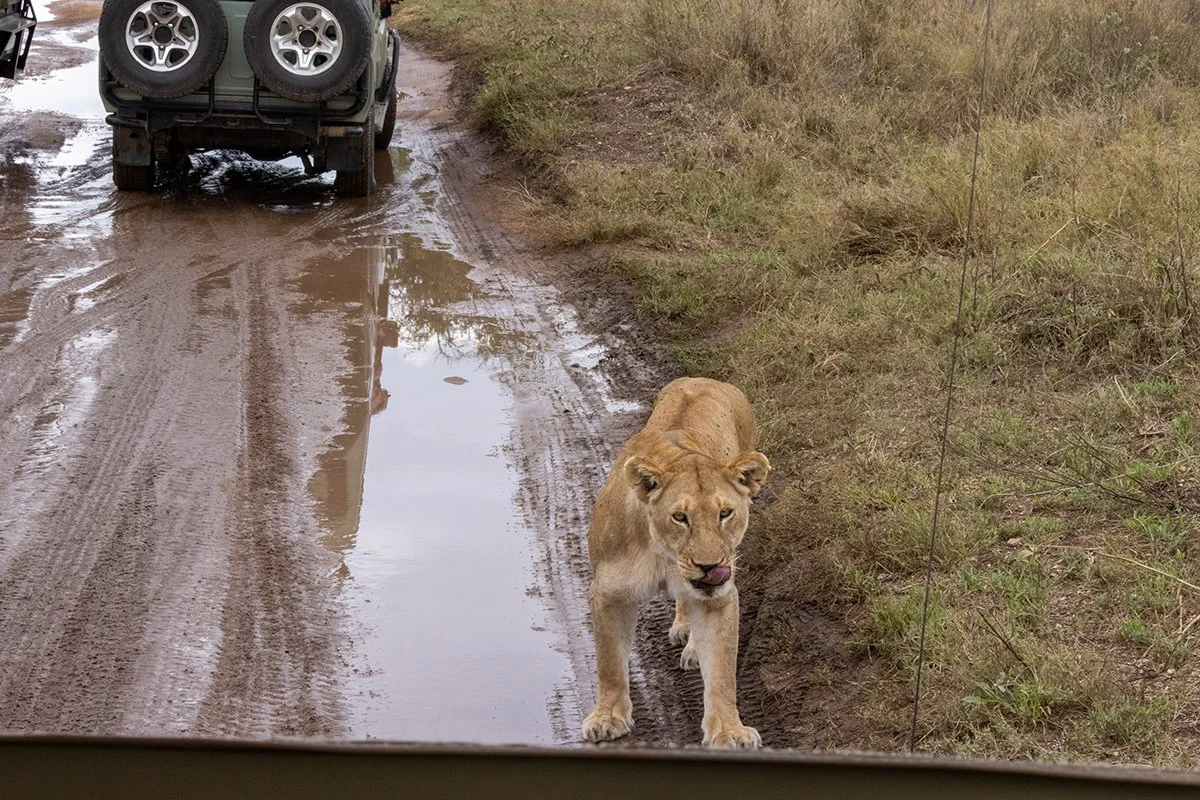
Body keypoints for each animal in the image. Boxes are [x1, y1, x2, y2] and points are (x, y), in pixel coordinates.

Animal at [581, 377, 770, 749]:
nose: (710, 566)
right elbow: (609, 663)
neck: (664, 554)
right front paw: (607, 718)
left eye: (725, 513)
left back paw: (693, 642)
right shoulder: (607, 593)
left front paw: (729, 730)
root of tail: (704, 378)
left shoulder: (722, 597)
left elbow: (723, 671)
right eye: (680, 517)